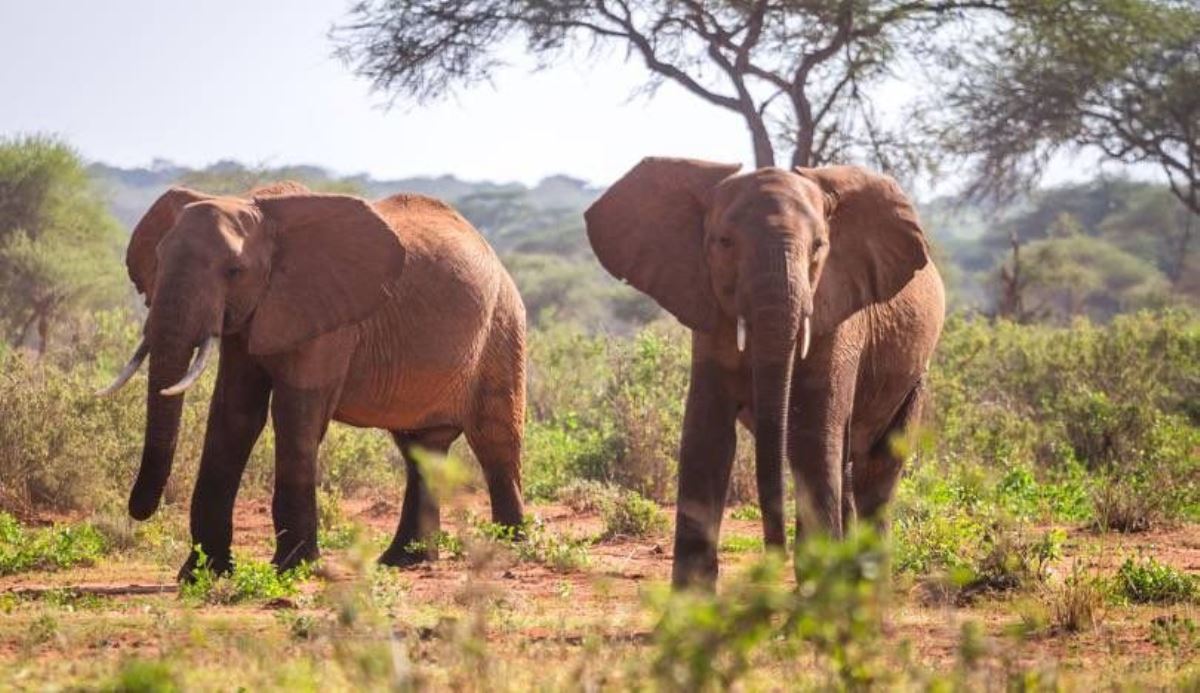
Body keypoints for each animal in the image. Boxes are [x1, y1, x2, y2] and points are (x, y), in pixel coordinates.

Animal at [96, 181, 523, 575]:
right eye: (158, 259)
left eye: (234, 271)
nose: (138, 511)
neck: (258, 208)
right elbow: (234, 415)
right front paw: (203, 573)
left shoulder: (328, 319)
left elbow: (295, 415)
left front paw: (293, 567)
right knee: (421, 448)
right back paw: (404, 561)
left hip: (502, 327)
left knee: (495, 440)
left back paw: (511, 550)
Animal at [585, 159, 940, 585]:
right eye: (723, 242)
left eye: (819, 246)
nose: (774, 559)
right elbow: (707, 437)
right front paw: (691, 601)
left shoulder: (839, 314)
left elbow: (812, 436)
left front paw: (817, 596)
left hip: (914, 377)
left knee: (876, 468)